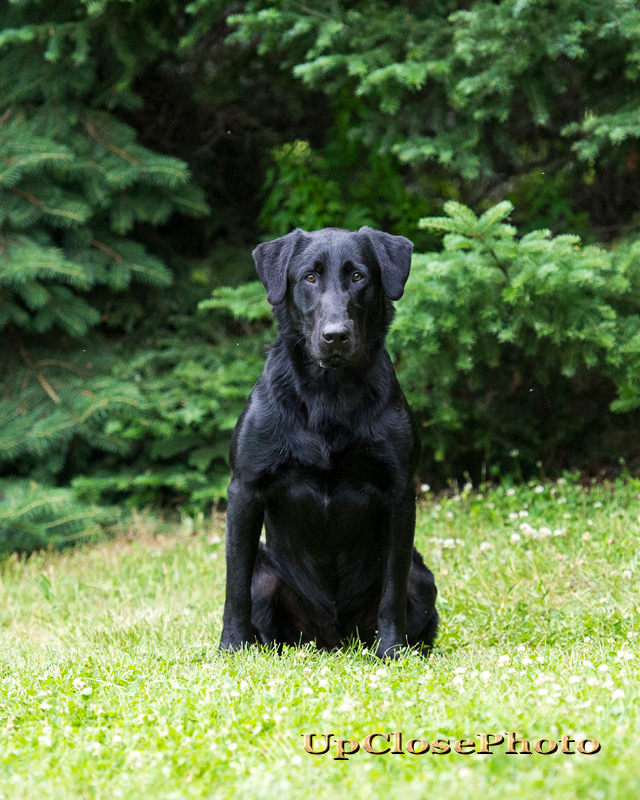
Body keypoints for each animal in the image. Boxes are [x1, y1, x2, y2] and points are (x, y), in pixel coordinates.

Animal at [218, 225, 438, 656]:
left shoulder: (400, 495)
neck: (329, 393)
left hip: (423, 578)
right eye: (309, 277)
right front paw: (232, 647)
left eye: (358, 277)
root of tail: (333, 640)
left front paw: (392, 650)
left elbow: (392, 591)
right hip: (266, 572)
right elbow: (234, 588)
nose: (335, 336)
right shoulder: (245, 490)